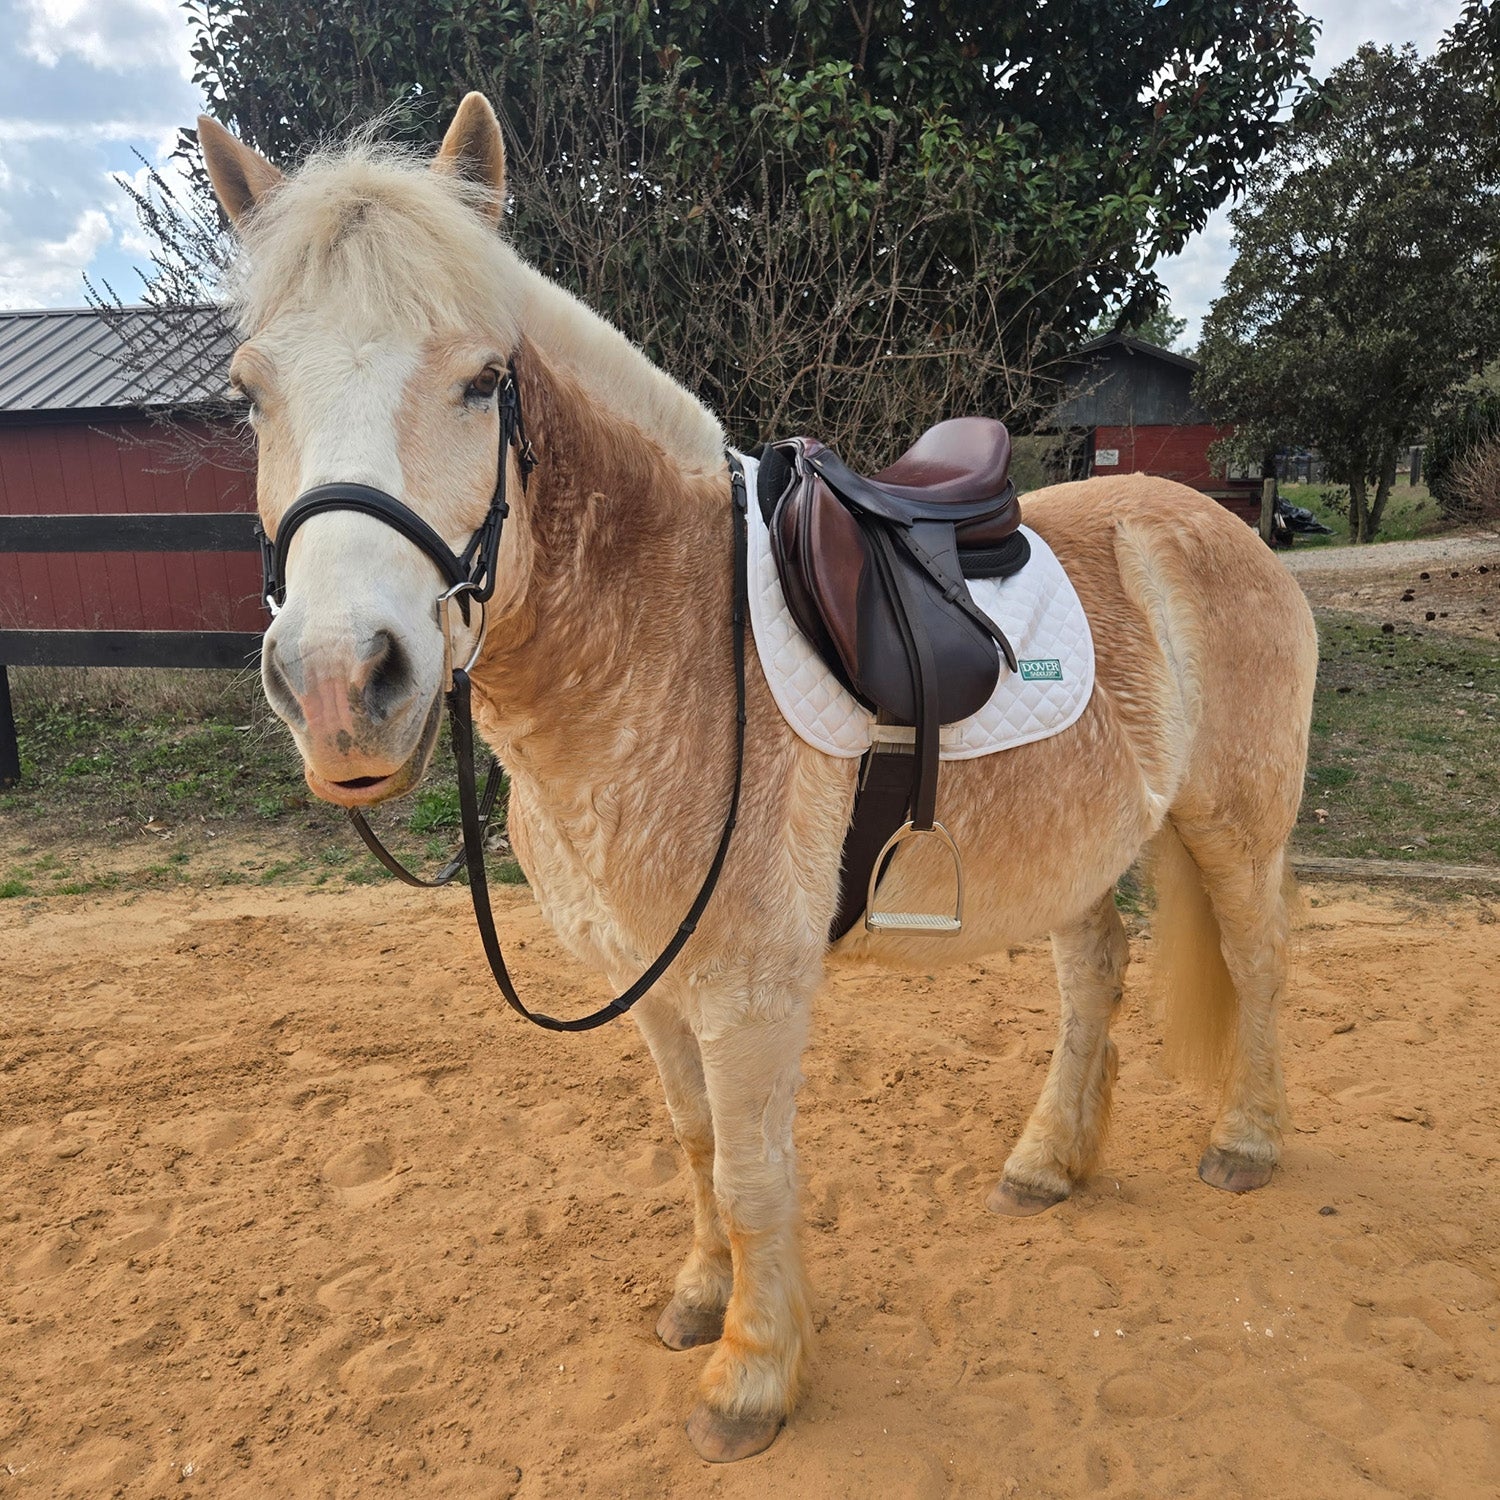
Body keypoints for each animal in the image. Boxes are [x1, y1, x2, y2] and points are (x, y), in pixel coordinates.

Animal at [197, 93, 1318, 1462]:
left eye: (483, 381)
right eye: (250, 394)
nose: (341, 684)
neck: (658, 635)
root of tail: (1221, 524)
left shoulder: (749, 992)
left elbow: (750, 1174)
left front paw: (754, 1377)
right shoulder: (650, 985)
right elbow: (690, 1147)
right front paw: (699, 1303)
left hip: (1232, 826)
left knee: (1257, 961)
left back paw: (1247, 1142)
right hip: (1086, 841)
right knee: (1092, 976)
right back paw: (1048, 1163)